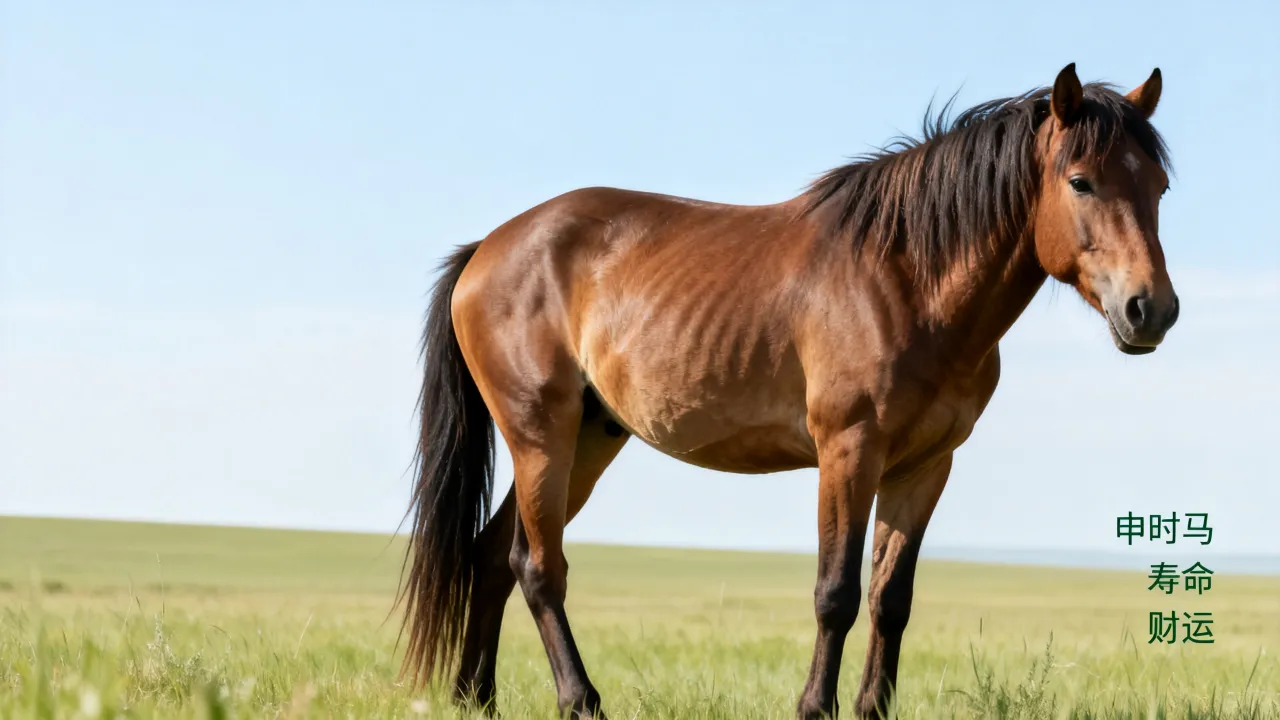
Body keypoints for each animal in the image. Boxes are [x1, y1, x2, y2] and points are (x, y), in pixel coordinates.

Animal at [397, 63, 1177, 719]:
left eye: (1159, 187)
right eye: (1080, 181)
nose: (1151, 310)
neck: (906, 282)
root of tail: (488, 249)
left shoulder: (925, 466)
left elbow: (891, 598)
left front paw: (871, 709)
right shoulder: (848, 452)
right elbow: (837, 593)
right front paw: (814, 707)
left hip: (589, 438)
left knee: (491, 557)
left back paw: (476, 699)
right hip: (540, 437)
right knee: (537, 567)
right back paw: (580, 700)